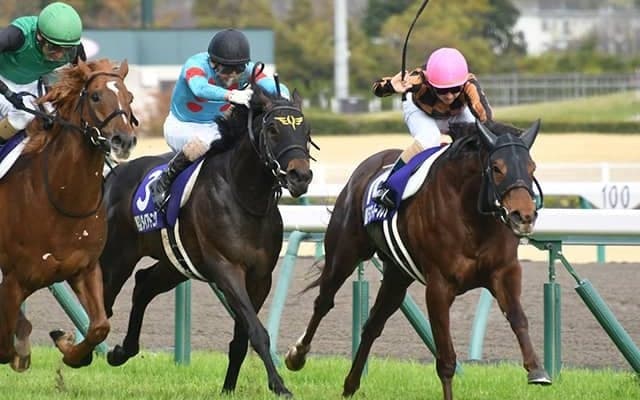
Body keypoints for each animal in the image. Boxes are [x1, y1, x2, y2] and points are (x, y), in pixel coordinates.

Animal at [0, 59, 138, 371]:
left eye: (130, 97)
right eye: (95, 96)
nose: (124, 140)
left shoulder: (84, 269)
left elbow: (99, 326)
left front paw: (68, 347)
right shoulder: (14, 280)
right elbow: (4, 342)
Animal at [100, 85, 313, 397]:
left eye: (306, 130)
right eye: (273, 129)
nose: (301, 176)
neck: (244, 197)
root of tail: (112, 175)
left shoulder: (260, 277)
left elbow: (243, 337)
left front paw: (228, 388)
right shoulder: (226, 269)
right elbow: (258, 332)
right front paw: (279, 385)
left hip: (175, 263)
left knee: (143, 284)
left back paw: (121, 352)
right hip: (117, 257)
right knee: (104, 300)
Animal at [284, 120, 551, 400]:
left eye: (532, 167)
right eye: (497, 168)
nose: (524, 216)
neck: (472, 216)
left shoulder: (504, 271)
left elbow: (518, 317)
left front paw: (537, 370)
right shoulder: (439, 286)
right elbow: (446, 359)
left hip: (397, 276)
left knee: (372, 324)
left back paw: (350, 385)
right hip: (344, 254)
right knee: (324, 302)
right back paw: (296, 356)